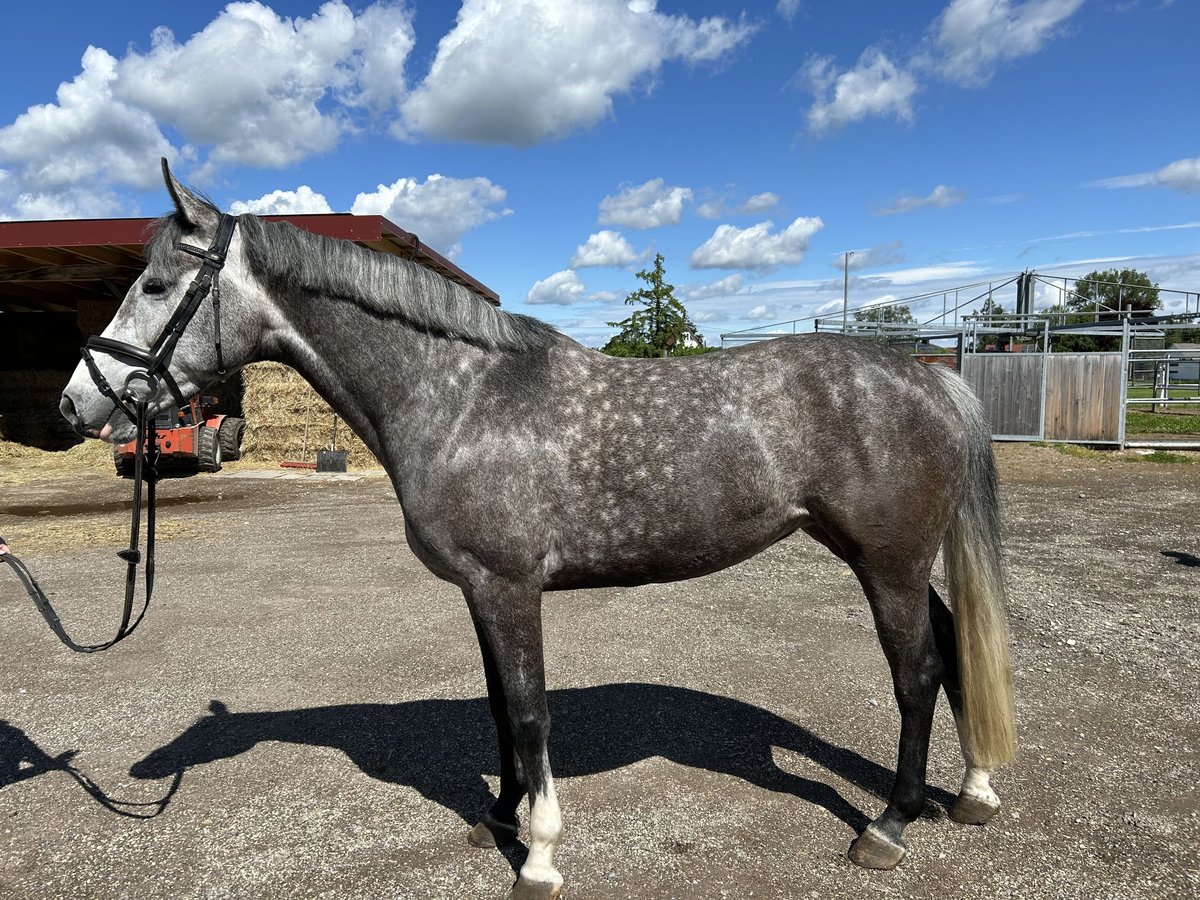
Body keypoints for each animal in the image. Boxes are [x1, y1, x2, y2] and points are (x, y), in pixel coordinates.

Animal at [60, 164, 1017, 900]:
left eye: (155, 286)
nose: (76, 403)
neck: (461, 396)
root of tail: (932, 380)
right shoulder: (483, 594)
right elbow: (497, 706)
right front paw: (497, 817)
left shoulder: (510, 587)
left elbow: (528, 712)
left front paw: (541, 856)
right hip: (888, 559)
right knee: (951, 646)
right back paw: (972, 792)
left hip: (887, 563)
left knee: (916, 673)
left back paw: (889, 825)